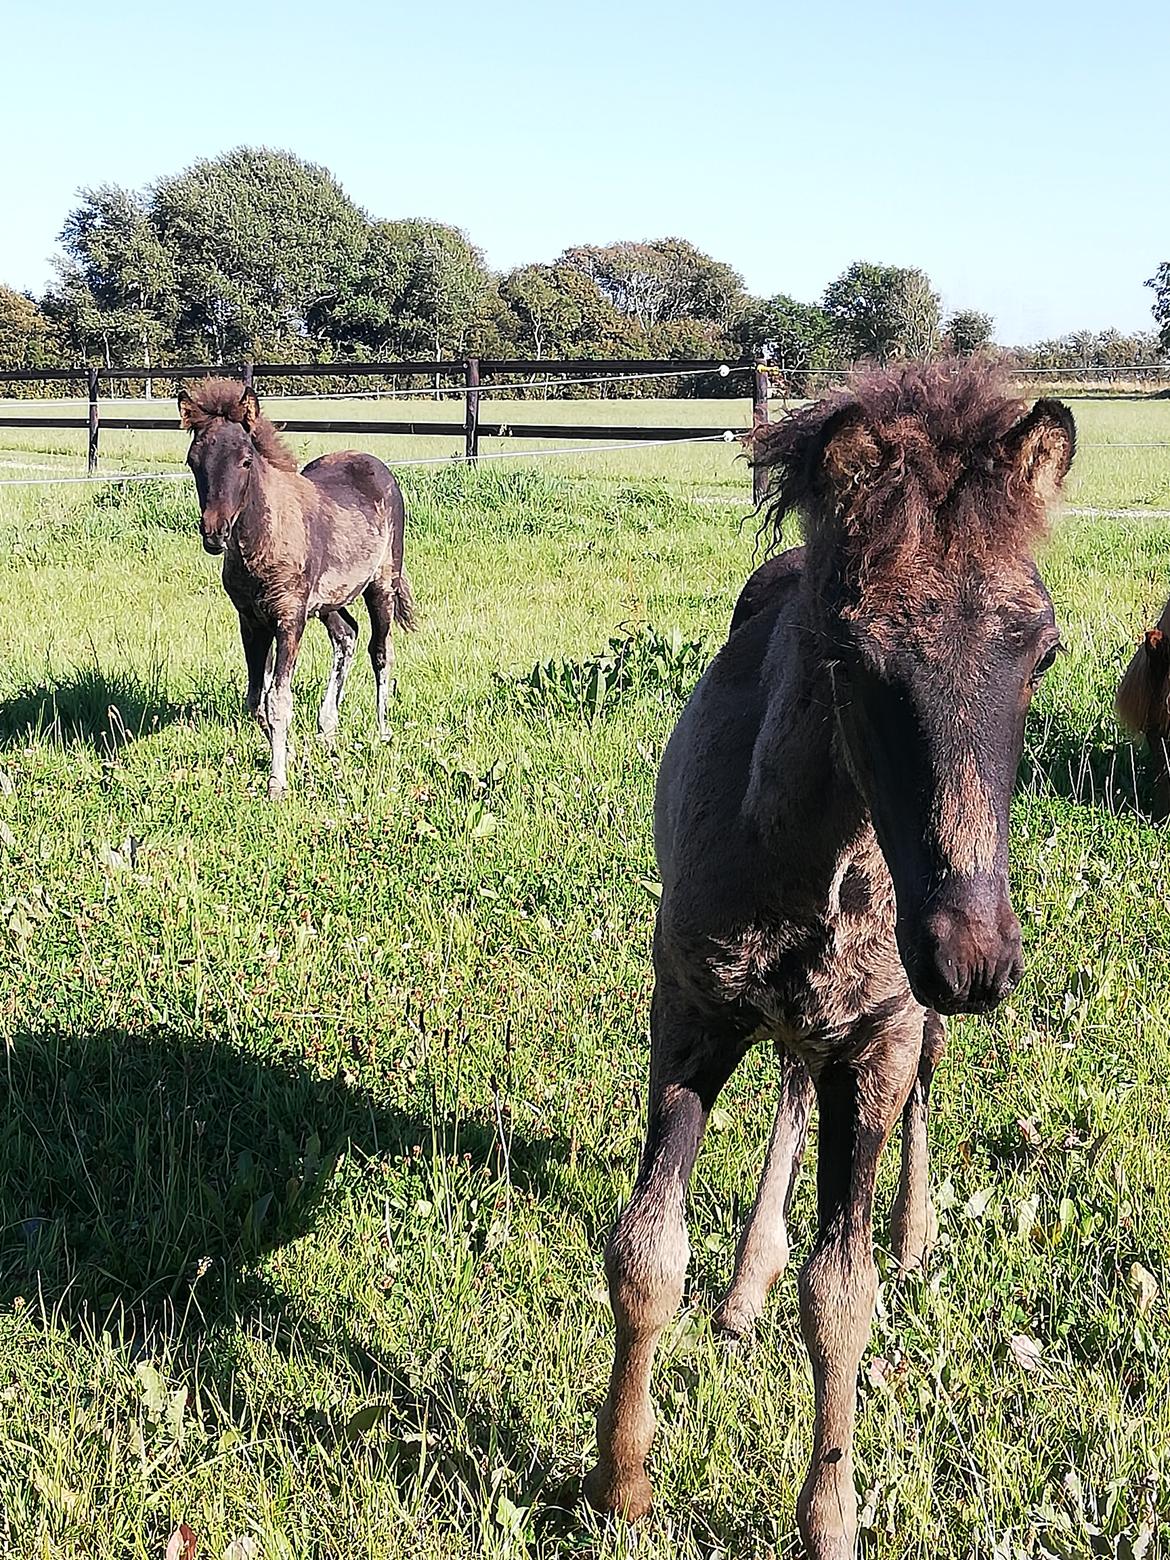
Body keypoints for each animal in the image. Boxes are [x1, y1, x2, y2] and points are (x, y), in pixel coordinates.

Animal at [178, 374, 418, 792]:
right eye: (194, 461)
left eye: (245, 461)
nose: (214, 533)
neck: (262, 541)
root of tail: (373, 462)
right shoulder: (252, 621)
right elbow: (257, 699)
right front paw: (286, 754)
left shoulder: (289, 618)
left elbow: (279, 700)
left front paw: (277, 782)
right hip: (327, 602)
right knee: (346, 636)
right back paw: (327, 728)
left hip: (381, 584)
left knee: (380, 650)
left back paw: (382, 731)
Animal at [583, 358, 1079, 1553]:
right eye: (850, 653)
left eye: (1042, 652)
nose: (973, 959)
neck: (813, 858)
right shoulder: (690, 1009)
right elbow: (645, 1254)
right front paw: (621, 1482)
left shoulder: (881, 1033)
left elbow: (843, 1296)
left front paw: (831, 1517)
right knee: (793, 1079)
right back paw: (745, 1284)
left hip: (898, 1023)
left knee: (897, 1094)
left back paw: (912, 1228)